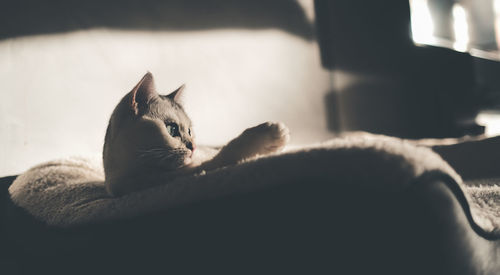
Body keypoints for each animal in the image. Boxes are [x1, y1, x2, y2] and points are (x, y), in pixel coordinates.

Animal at [103, 71, 290, 196]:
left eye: (189, 131)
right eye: (171, 129)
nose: (193, 146)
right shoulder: (193, 171)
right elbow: (230, 151)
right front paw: (271, 134)